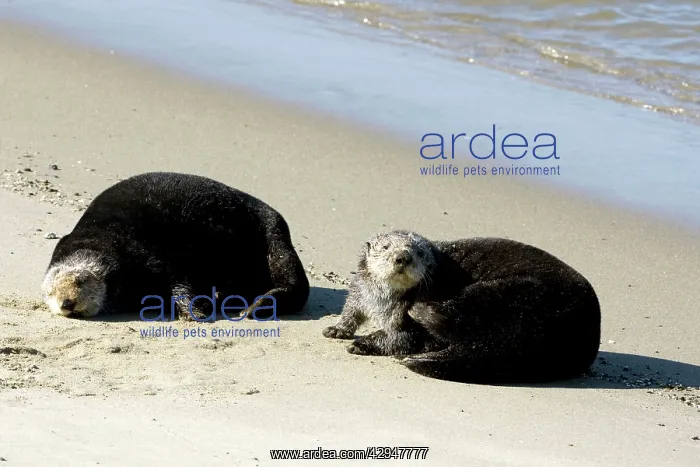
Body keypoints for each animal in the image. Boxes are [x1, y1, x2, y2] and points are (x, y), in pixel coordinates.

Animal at [42, 172, 309, 320]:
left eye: (80, 281)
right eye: (50, 293)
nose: (66, 303)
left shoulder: (148, 254)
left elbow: (179, 280)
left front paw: (195, 312)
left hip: (275, 236)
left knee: (295, 284)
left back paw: (256, 306)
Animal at [323, 230, 601, 384]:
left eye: (419, 252)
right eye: (386, 247)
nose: (403, 257)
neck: (382, 299)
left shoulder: (407, 325)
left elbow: (403, 337)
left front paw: (363, 342)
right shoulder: (360, 289)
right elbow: (351, 308)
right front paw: (337, 329)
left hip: (511, 295)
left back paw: (419, 312)